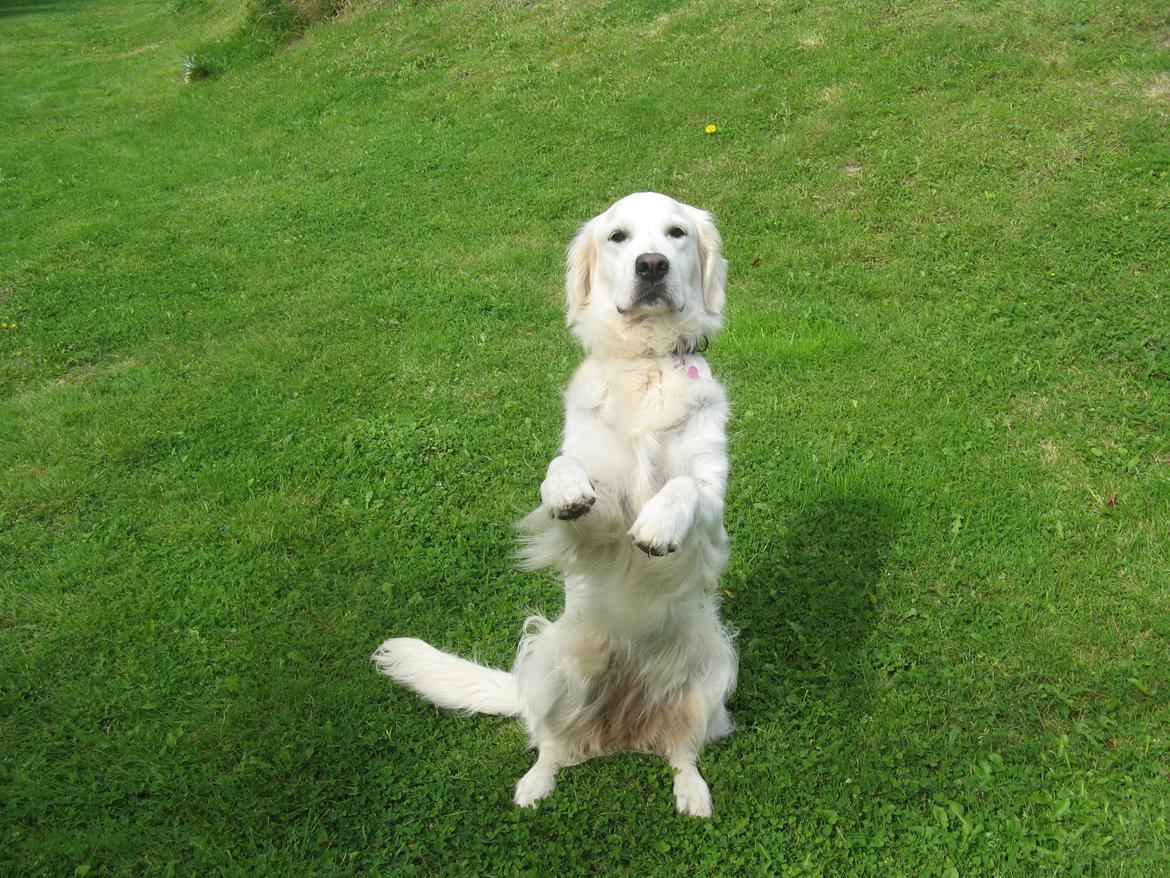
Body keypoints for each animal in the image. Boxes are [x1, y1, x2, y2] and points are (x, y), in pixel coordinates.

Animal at [374, 191, 734, 819]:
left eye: (677, 233)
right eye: (618, 237)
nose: (651, 266)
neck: (644, 364)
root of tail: (625, 729)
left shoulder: (712, 503)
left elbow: (684, 488)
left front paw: (659, 524)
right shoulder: (597, 506)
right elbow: (561, 468)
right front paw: (566, 492)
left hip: (712, 670)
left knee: (681, 750)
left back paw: (692, 793)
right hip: (549, 661)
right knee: (551, 744)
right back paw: (533, 787)